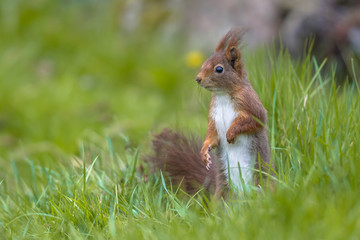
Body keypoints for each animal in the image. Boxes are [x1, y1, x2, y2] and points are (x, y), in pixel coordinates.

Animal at [148, 28, 272, 197]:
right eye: (203, 64)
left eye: (219, 69)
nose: (198, 79)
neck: (223, 95)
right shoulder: (214, 115)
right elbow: (212, 134)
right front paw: (204, 151)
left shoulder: (251, 104)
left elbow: (254, 120)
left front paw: (230, 133)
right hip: (224, 188)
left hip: (260, 179)